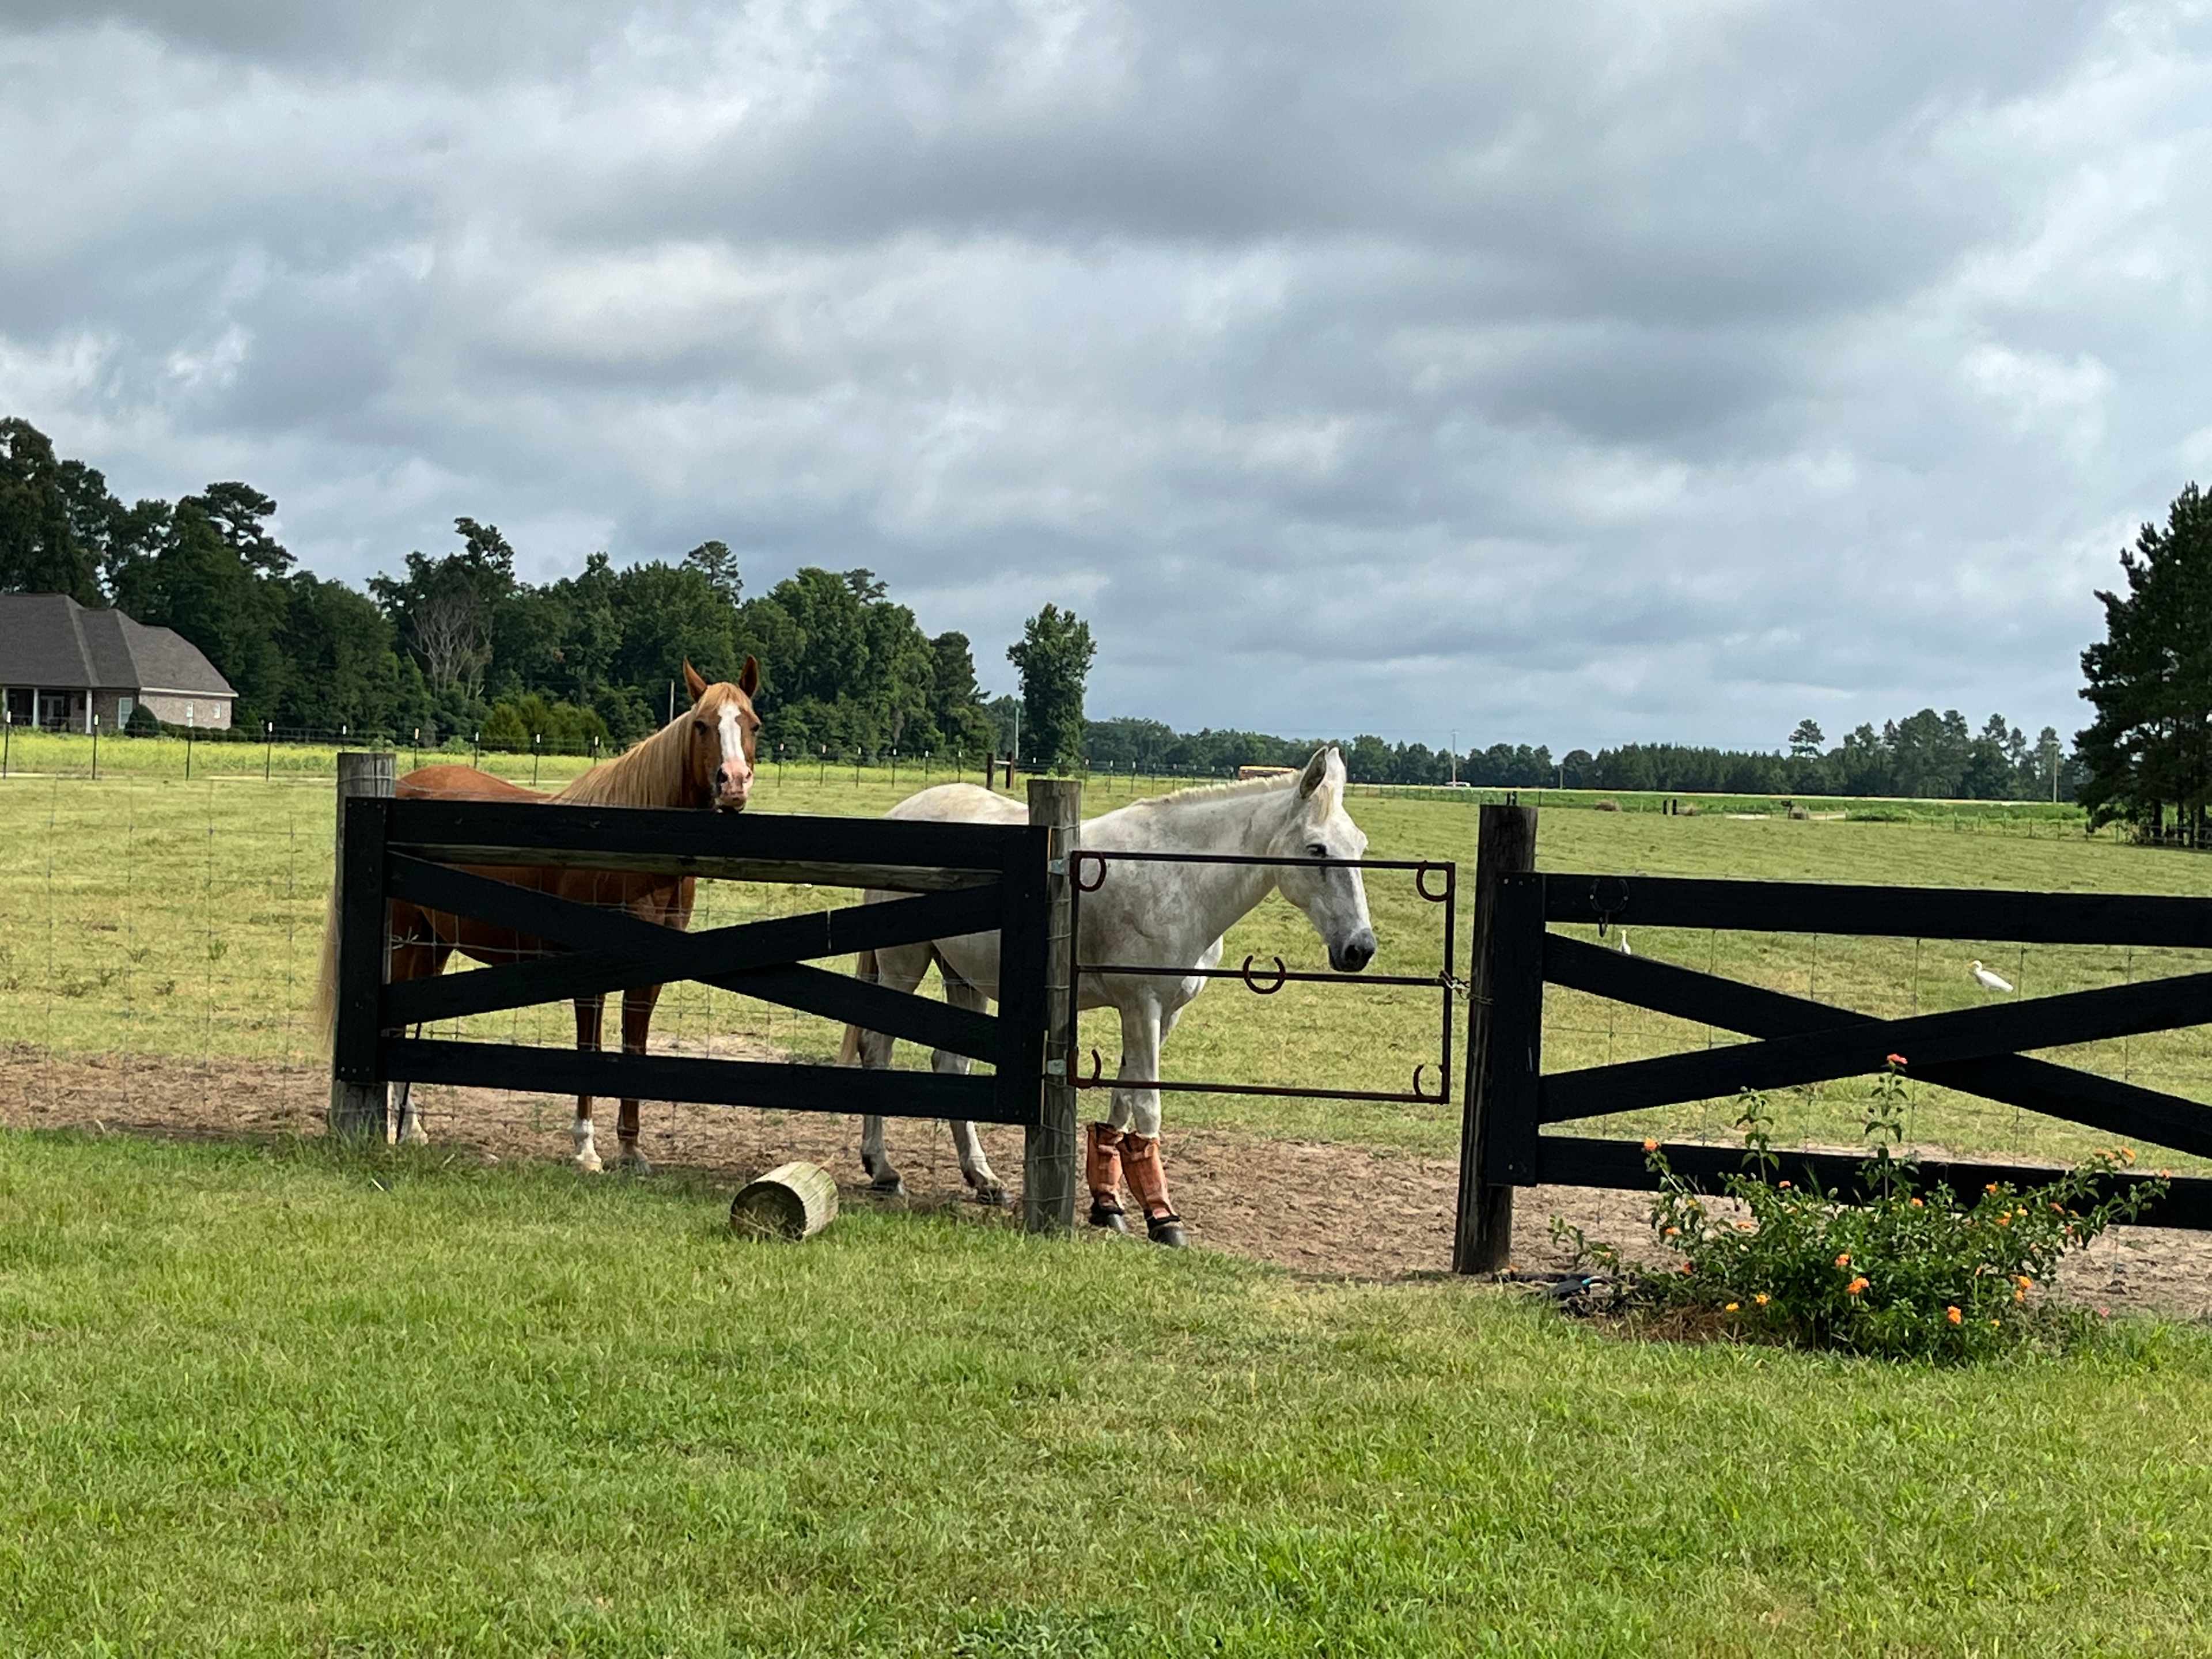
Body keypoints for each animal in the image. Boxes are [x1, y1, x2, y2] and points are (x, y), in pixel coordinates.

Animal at [313, 658, 761, 1172]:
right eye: (702, 725)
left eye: (752, 724)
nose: (734, 782)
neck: (630, 850)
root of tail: (401, 791)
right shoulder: (591, 970)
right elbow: (590, 1049)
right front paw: (586, 1150)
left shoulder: (652, 973)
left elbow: (635, 1045)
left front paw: (631, 1152)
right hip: (406, 940)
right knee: (393, 1027)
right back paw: (402, 1129)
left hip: (433, 945)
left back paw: (412, 1130)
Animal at [839, 745, 1375, 1244]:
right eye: (1317, 849)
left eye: (1361, 846)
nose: (1359, 948)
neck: (1180, 879)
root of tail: (902, 812)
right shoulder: (1142, 1006)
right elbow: (1148, 1108)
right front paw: (1163, 1218)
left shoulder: (1161, 1014)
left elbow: (1122, 1104)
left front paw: (1109, 1205)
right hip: (903, 968)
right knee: (877, 1051)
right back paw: (883, 1170)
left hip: (965, 979)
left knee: (950, 1064)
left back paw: (983, 1179)